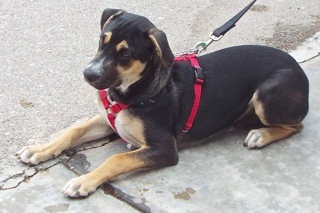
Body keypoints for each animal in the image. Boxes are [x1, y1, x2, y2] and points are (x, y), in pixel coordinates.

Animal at [16, 8, 308, 198]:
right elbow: (73, 131)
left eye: (125, 54)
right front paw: (39, 150)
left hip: (268, 93)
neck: (135, 91)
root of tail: (297, 68)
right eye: (102, 41)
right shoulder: (108, 119)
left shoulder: (164, 148)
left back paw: (261, 134)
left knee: (296, 126)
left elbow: (116, 159)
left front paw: (84, 181)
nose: (89, 75)